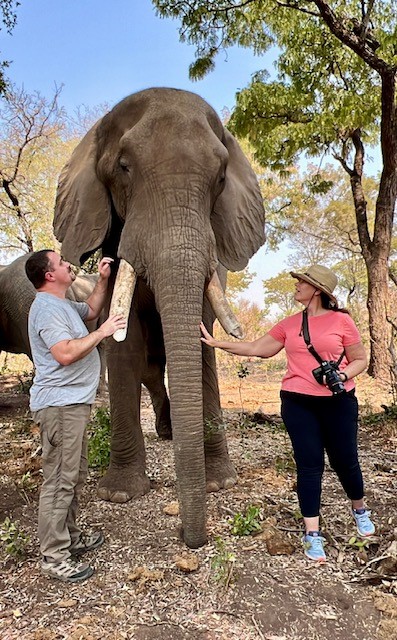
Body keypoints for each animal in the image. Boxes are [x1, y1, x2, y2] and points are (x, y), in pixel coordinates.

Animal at [51, 85, 262, 548]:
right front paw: (119, 494)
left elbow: (202, 345)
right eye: (123, 167)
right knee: (150, 367)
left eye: (221, 178)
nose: (188, 535)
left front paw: (220, 484)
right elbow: (124, 344)